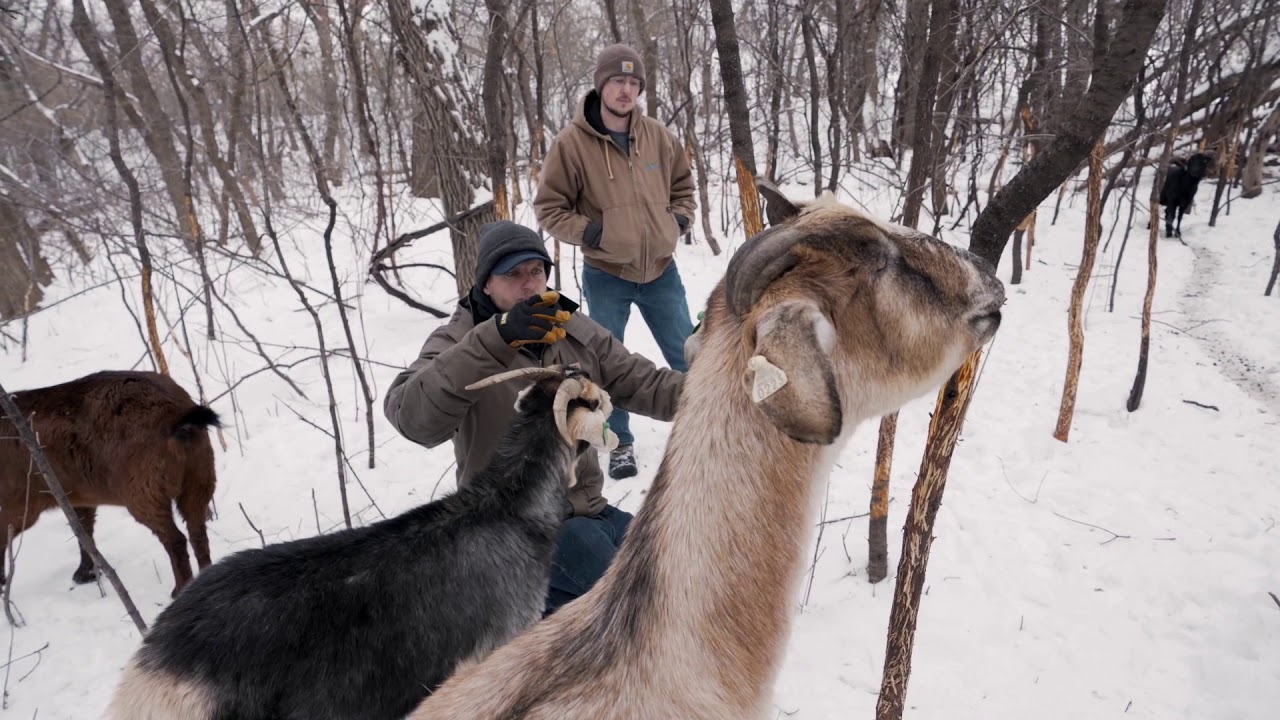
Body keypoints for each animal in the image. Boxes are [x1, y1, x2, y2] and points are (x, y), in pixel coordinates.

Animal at [0, 371, 219, 598]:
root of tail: (177, 415)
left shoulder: (20, 497)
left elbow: (4, 534)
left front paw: (1, 582)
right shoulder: (78, 496)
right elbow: (84, 530)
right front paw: (85, 574)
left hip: (144, 490)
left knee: (175, 540)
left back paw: (179, 590)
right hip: (200, 475)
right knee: (197, 532)